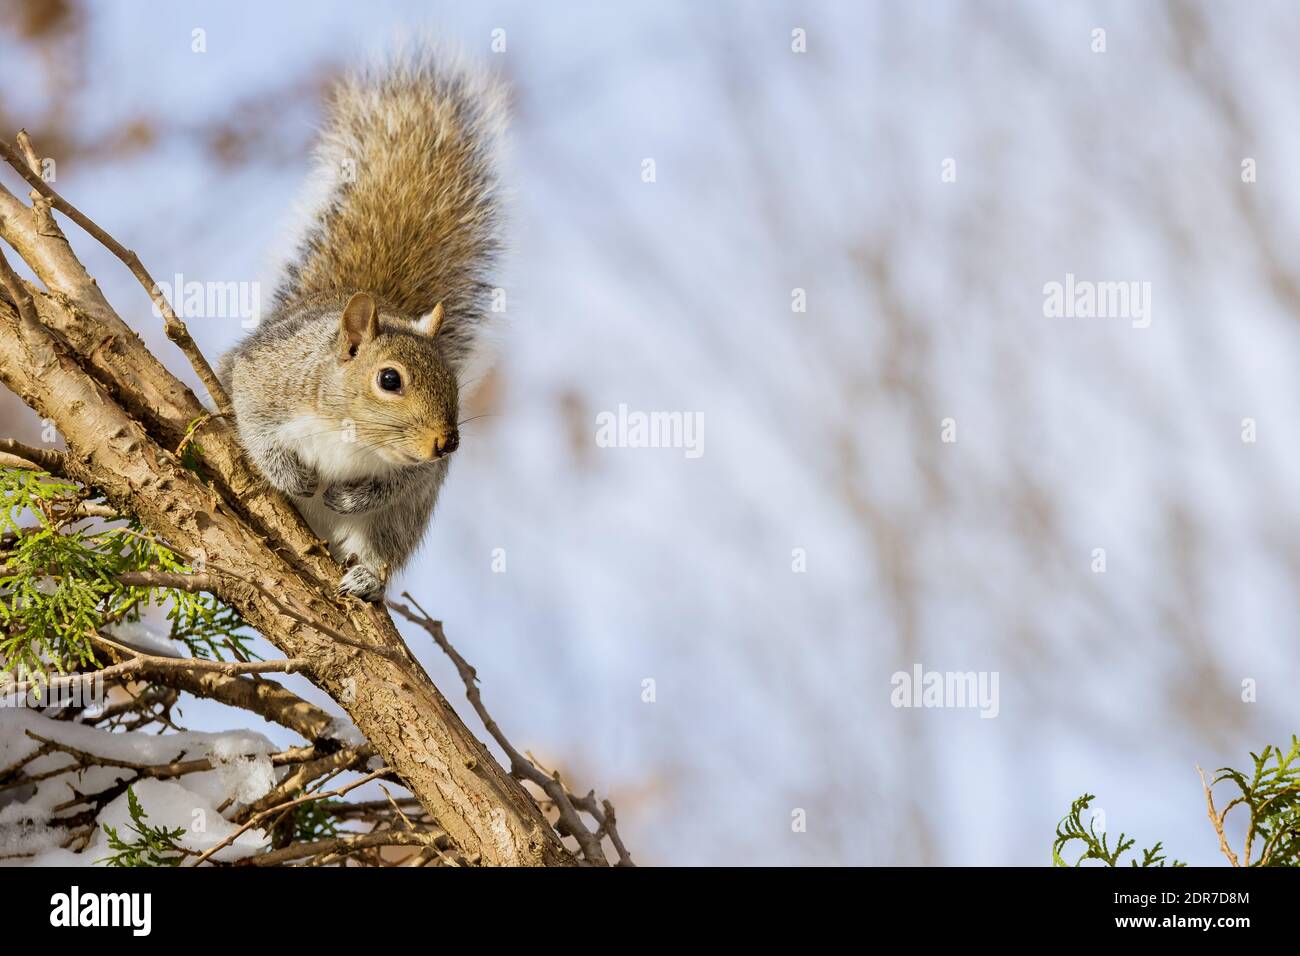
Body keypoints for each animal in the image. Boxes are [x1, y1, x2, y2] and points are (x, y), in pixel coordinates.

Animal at [219, 50, 507, 602]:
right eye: (389, 379)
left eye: (453, 381)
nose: (447, 444)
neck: (351, 431)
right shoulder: (267, 377)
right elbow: (254, 418)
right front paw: (292, 476)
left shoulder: (416, 476)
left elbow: (400, 482)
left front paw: (351, 497)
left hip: (399, 523)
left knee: (383, 544)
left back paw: (368, 576)